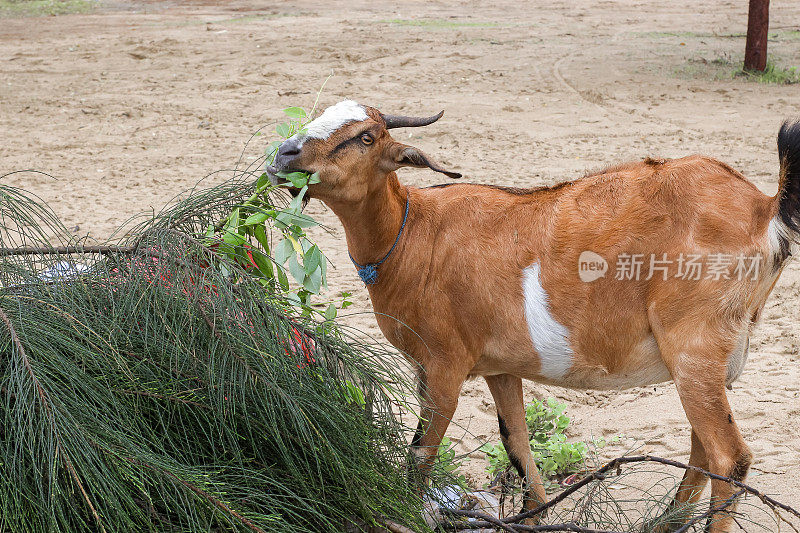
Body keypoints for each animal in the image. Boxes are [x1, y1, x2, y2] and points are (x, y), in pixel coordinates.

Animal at [268, 101, 800, 532]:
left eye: (366, 137)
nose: (284, 156)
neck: (413, 233)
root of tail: (764, 207)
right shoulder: (500, 366)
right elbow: (517, 440)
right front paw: (533, 515)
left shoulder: (444, 364)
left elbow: (421, 452)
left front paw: (402, 515)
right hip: (709, 360)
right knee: (703, 448)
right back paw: (663, 522)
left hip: (694, 345)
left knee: (729, 457)